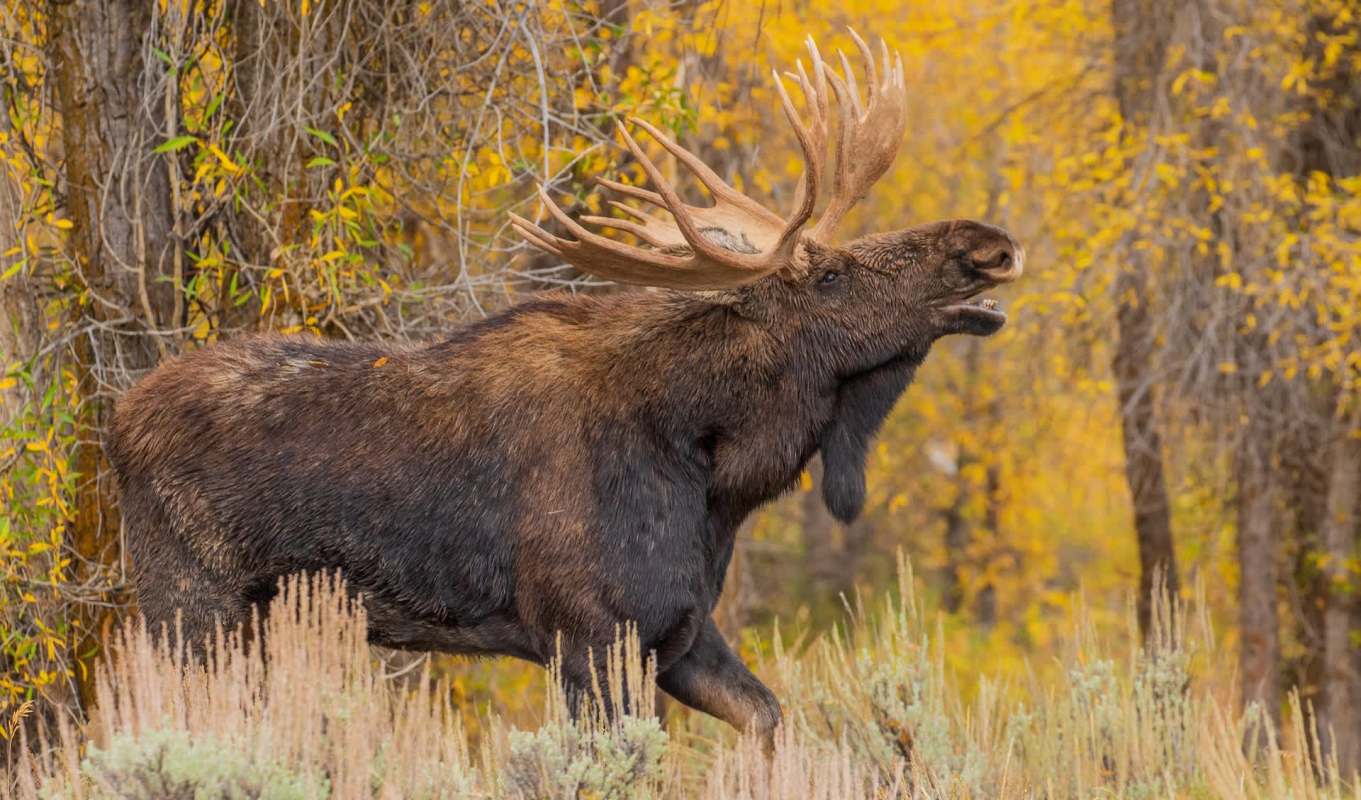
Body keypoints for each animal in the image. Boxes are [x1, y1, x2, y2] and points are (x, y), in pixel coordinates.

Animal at [107, 32, 1022, 744]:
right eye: (829, 275)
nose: (986, 245)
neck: (716, 474)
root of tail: (114, 421)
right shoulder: (588, 636)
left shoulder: (680, 633)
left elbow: (768, 718)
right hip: (192, 600)